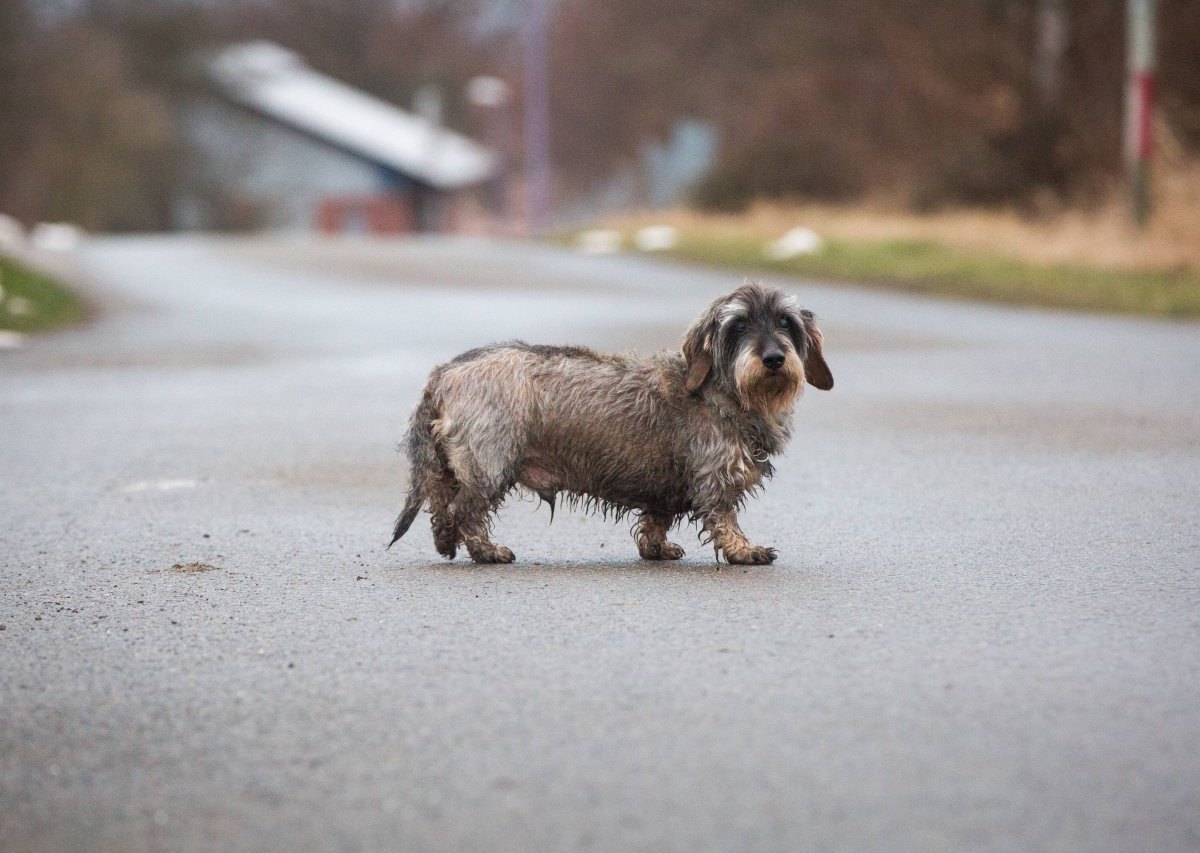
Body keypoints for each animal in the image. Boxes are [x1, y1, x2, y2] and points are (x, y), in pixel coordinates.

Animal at [388, 281, 830, 566]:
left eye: (786, 322)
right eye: (738, 326)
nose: (773, 358)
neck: (722, 394)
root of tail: (445, 372)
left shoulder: (663, 486)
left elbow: (656, 518)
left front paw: (656, 549)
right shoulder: (715, 477)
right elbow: (723, 517)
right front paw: (743, 550)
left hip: (452, 463)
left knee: (440, 503)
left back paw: (447, 543)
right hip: (489, 463)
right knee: (464, 509)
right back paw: (486, 551)